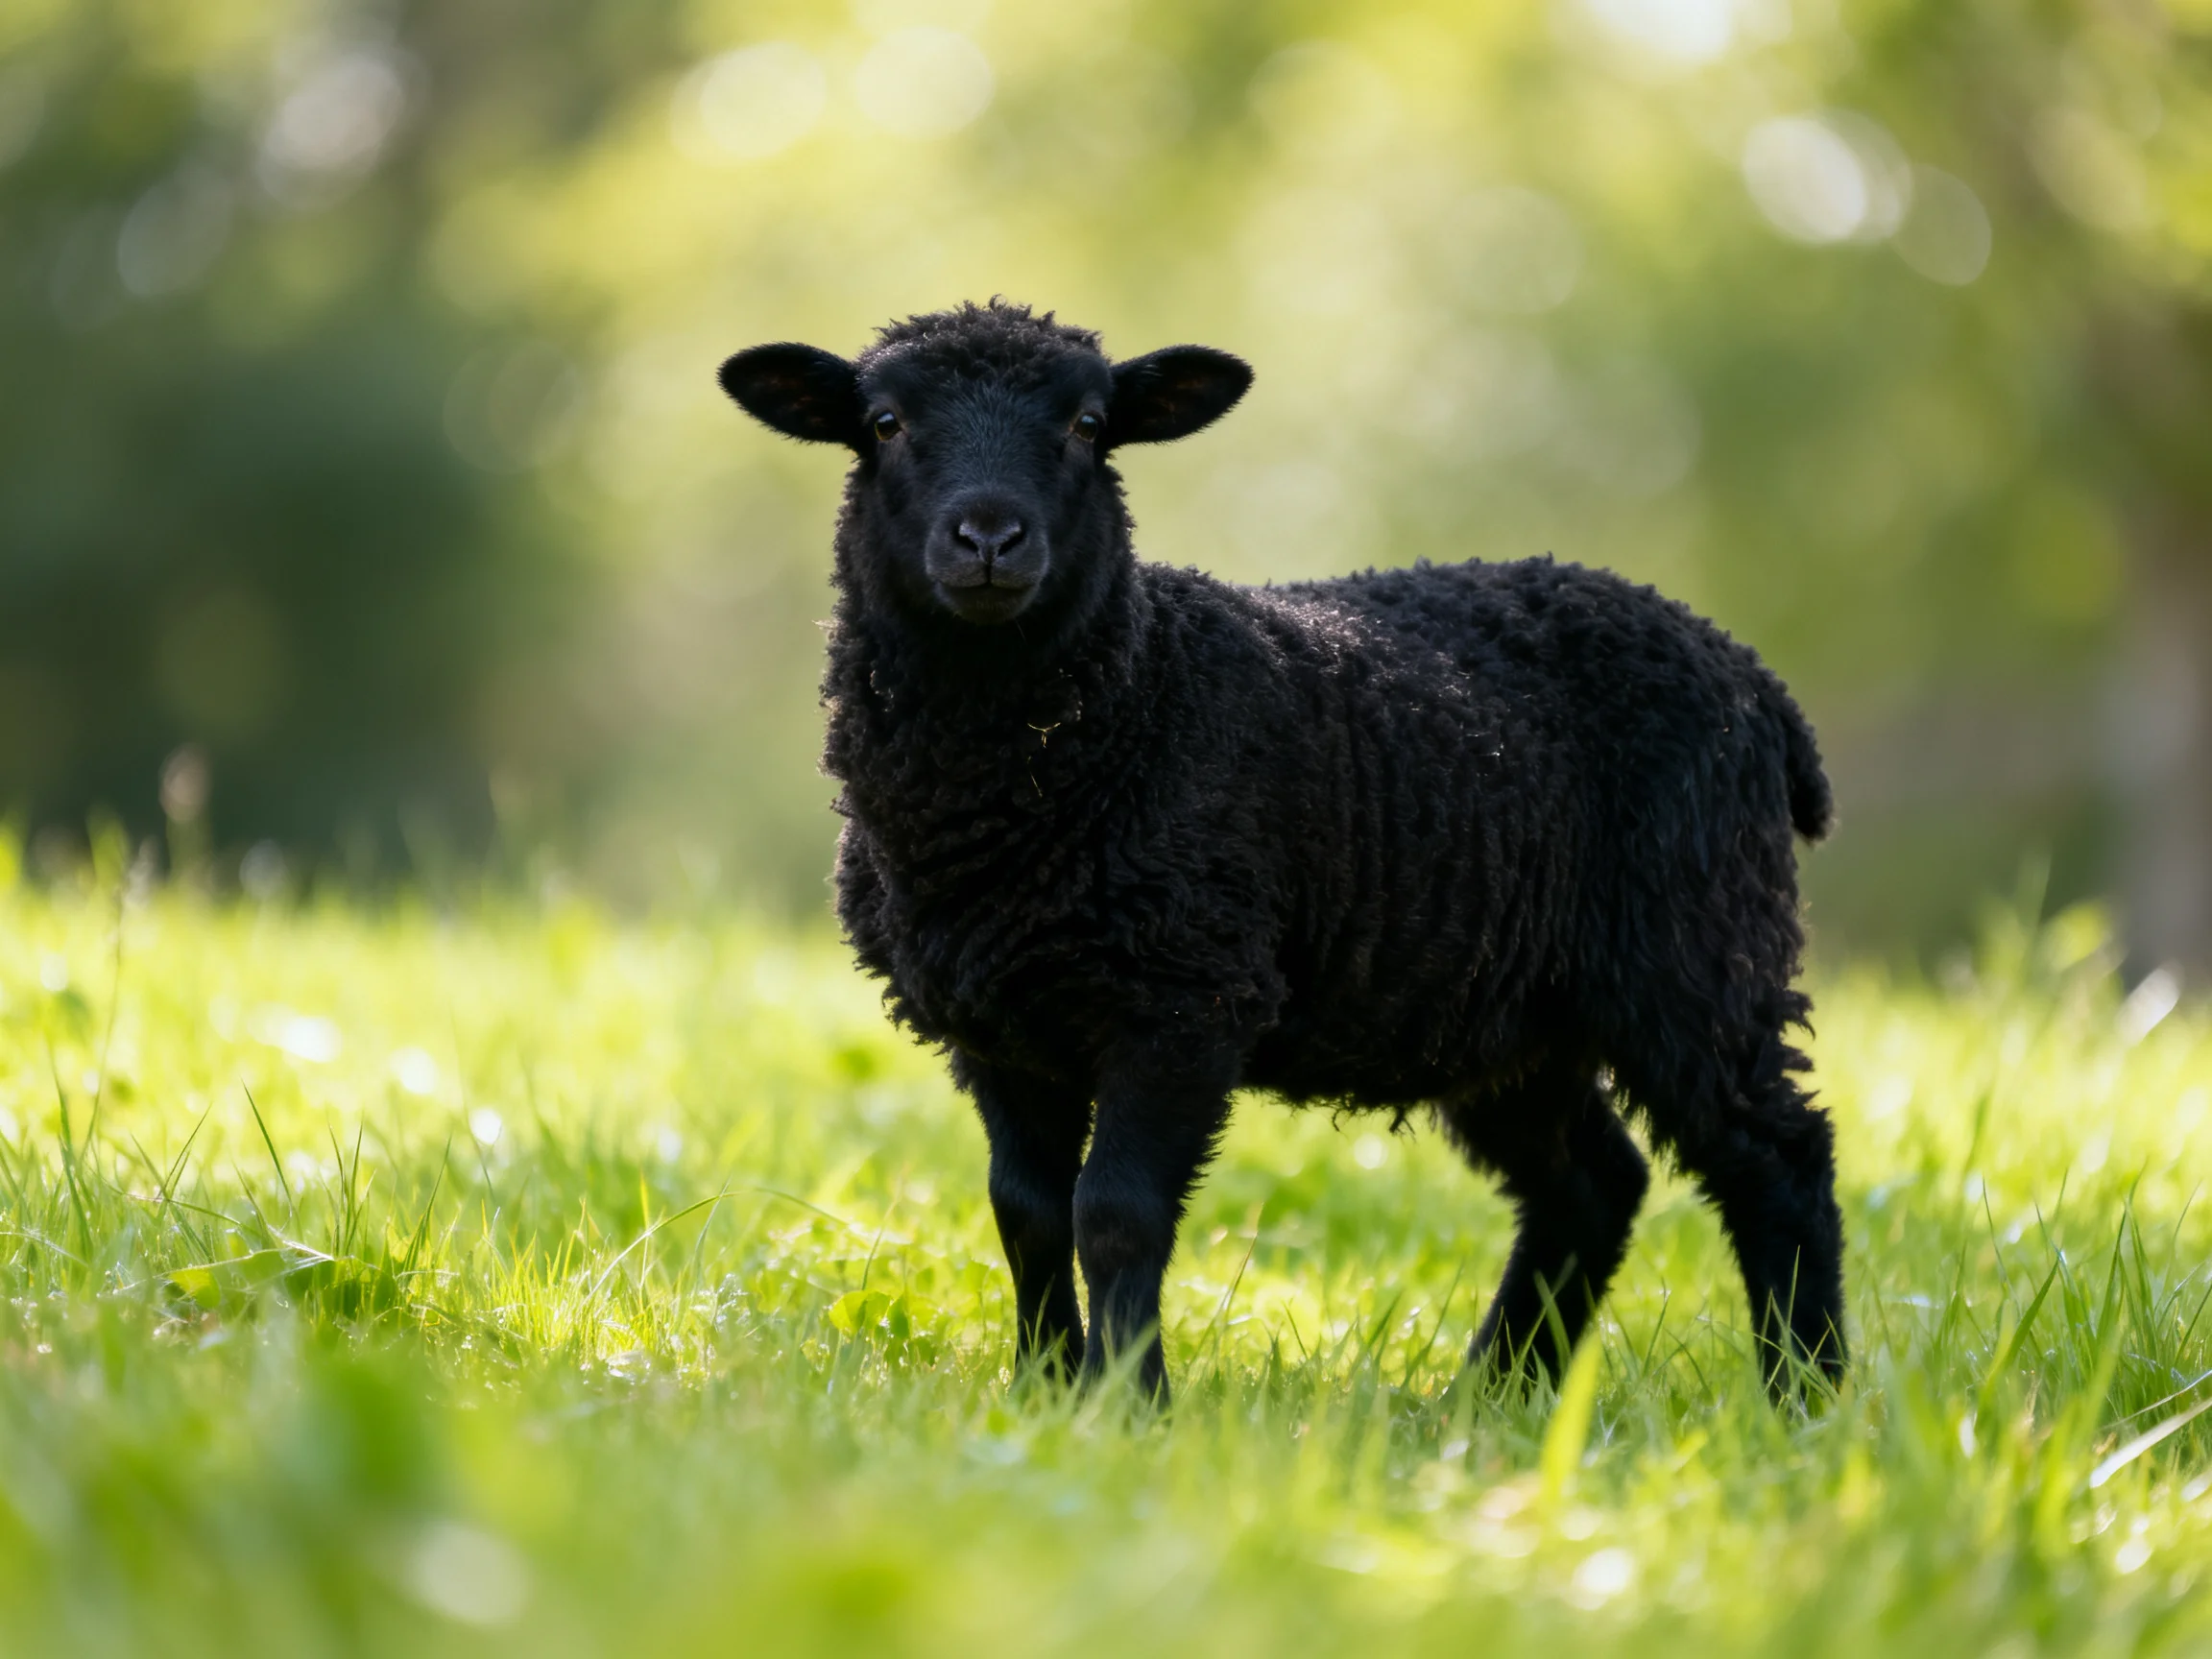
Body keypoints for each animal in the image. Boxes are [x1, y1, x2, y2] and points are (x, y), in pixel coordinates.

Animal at [719, 299, 1844, 1404]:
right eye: (884, 423)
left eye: (1088, 425)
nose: (989, 536)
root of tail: (1751, 678)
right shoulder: (999, 1023)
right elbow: (1026, 1212)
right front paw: (1044, 1392)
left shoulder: (1185, 995)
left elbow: (1114, 1213)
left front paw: (1128, 1405)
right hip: (1502, 1008)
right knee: (1591, 1181)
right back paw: (1493, 1397)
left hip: (1696, 944)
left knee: (1777, 1156)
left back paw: (1807, 1394)